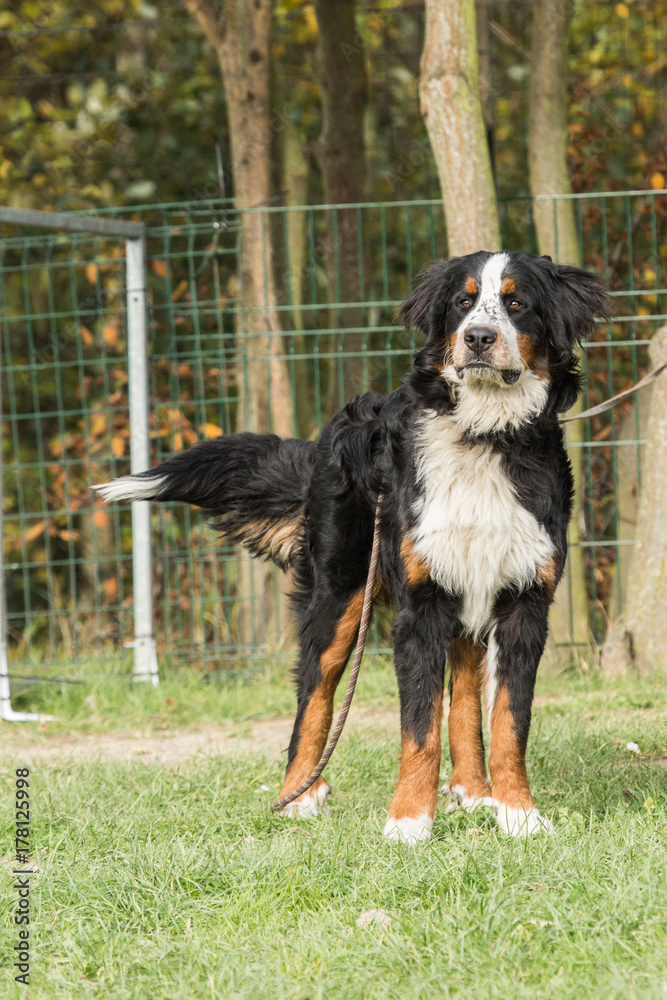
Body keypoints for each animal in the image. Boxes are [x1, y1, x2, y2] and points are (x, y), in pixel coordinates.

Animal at [96, 250, 612, 844]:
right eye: (463, 302)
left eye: (517, 302)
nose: (478, 337)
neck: (485, 438)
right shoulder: (419, 606)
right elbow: (419, 729)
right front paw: (409, 822)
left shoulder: (524, 602)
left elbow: (507, 722)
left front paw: (518, 816)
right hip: (340, 595)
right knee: (314, 696)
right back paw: (298, 794)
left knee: (462, 691)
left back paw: (474, 791)